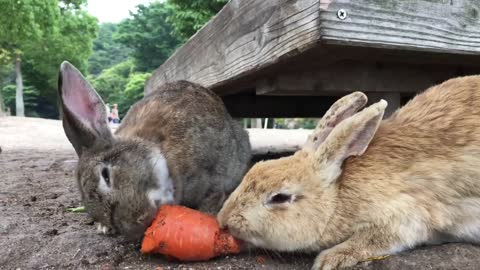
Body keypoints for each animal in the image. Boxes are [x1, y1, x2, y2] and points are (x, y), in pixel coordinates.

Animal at [57, 61, 251, 240]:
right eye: (96, 214)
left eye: (106, 175)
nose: (140, 222)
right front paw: (104, 227)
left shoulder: (214, 173)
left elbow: (213, 195)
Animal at [218, 75, 480, 270]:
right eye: (255, 168)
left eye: (280, 197)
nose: (223, 220)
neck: (337, 197)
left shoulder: (405, 216)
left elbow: (373, 239)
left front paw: (330, 259)